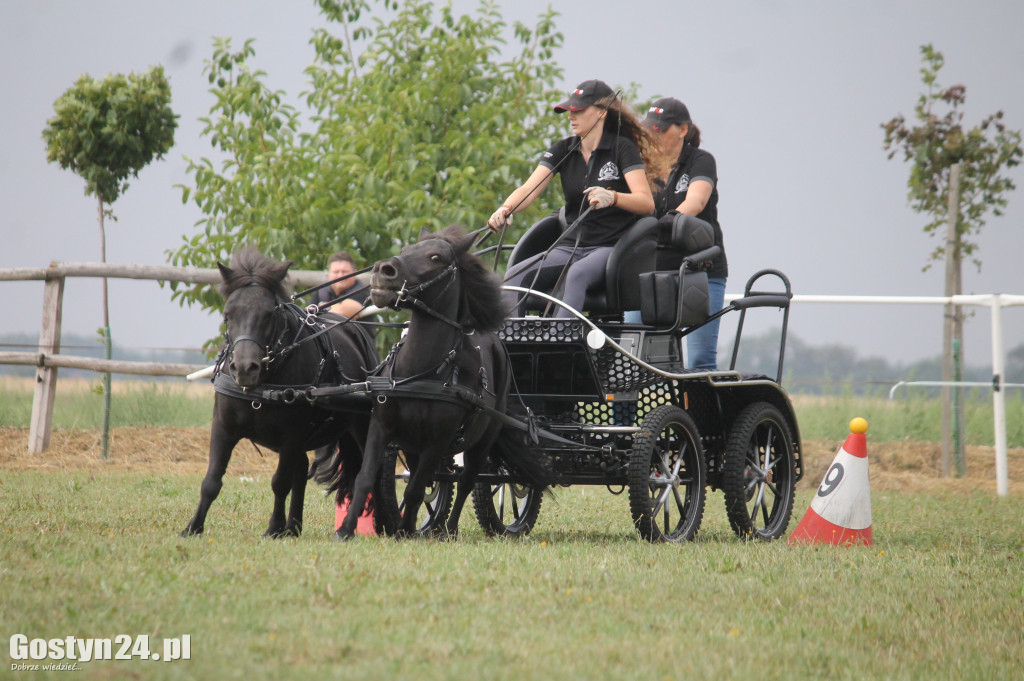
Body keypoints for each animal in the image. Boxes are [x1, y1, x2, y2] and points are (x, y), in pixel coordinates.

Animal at [182, 246, 378, 540]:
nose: (244, 368)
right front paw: (193, 527)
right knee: (303, 469)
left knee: (370, 470)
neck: (263, 384)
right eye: (228, 314)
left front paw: (273, 528)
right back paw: (293, 526)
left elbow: (280, 482)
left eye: (268, 314)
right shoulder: (223, 428)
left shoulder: (291, 435)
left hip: (362, 427)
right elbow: (211, 480)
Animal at [335, 225, 548, 540]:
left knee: (467, 480)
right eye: (406, 249)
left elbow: (414, 489)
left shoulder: (437, 441)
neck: (421, 374)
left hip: (482, 441)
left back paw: (449, 529)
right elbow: (367, 478)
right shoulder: (381, 427)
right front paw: (347, 529)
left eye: (435, 257)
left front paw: (405, 529)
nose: (383, 271)